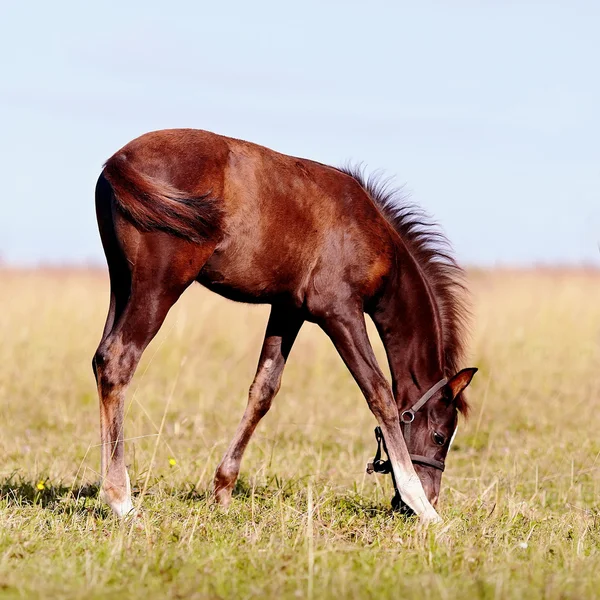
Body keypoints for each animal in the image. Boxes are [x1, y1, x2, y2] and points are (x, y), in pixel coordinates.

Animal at [92, 129, 478, 524]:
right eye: (440, 436)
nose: (432, 497)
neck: (372, 231)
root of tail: (120, 160)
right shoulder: (339, 311)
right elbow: (379, 393)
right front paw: (423, 508)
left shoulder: (288, 310)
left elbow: (264, 390)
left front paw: (223, 490)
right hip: (160, 285)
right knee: (120, 361)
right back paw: (121, 500)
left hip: (122, 282)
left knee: (103, 357)